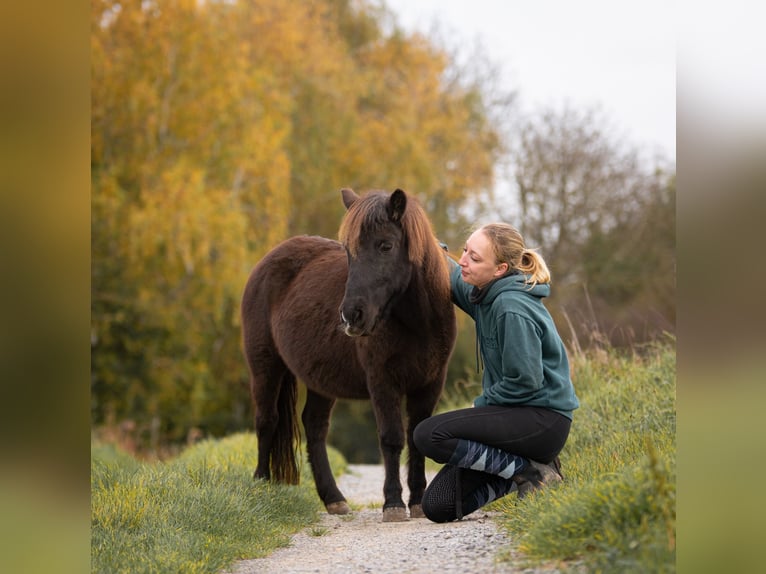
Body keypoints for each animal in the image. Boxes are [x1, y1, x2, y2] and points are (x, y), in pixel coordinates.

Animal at [242, 188, 456, 520]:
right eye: (348, 252)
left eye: (386, 245)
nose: (351, 316)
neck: (418, 323)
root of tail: (266, 263)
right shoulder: (382, 382)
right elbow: (392, 438)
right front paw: (393, 503)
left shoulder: (430, 383)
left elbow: (416, 437)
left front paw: (418, 501)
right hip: (265, 368)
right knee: (267, 422)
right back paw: (262, 486)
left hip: (319, 381)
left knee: (314, 427)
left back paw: (333, 498)